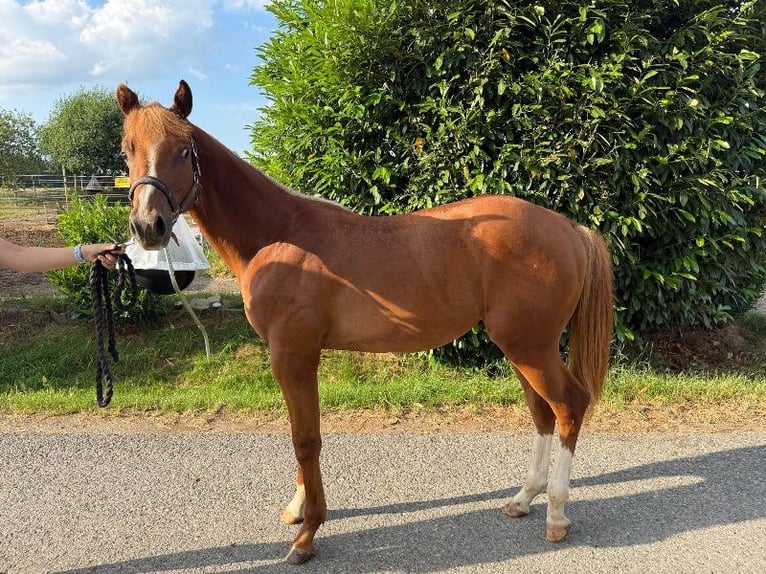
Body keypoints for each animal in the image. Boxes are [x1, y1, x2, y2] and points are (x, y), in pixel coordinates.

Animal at [116, 80, 614, 565]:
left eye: (184, 150)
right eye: (126, 150)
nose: (148, 226)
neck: (278, 236)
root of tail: (568, 227)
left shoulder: (294, 355)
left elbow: (305, 439)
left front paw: (308, 534)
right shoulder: (296, 358)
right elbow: (303, 436)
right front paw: (298, 508)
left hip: (531, 347)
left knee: (569, 405)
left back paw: (556, 513)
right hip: (523, 348)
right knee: (542, 413)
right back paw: (523, 498)